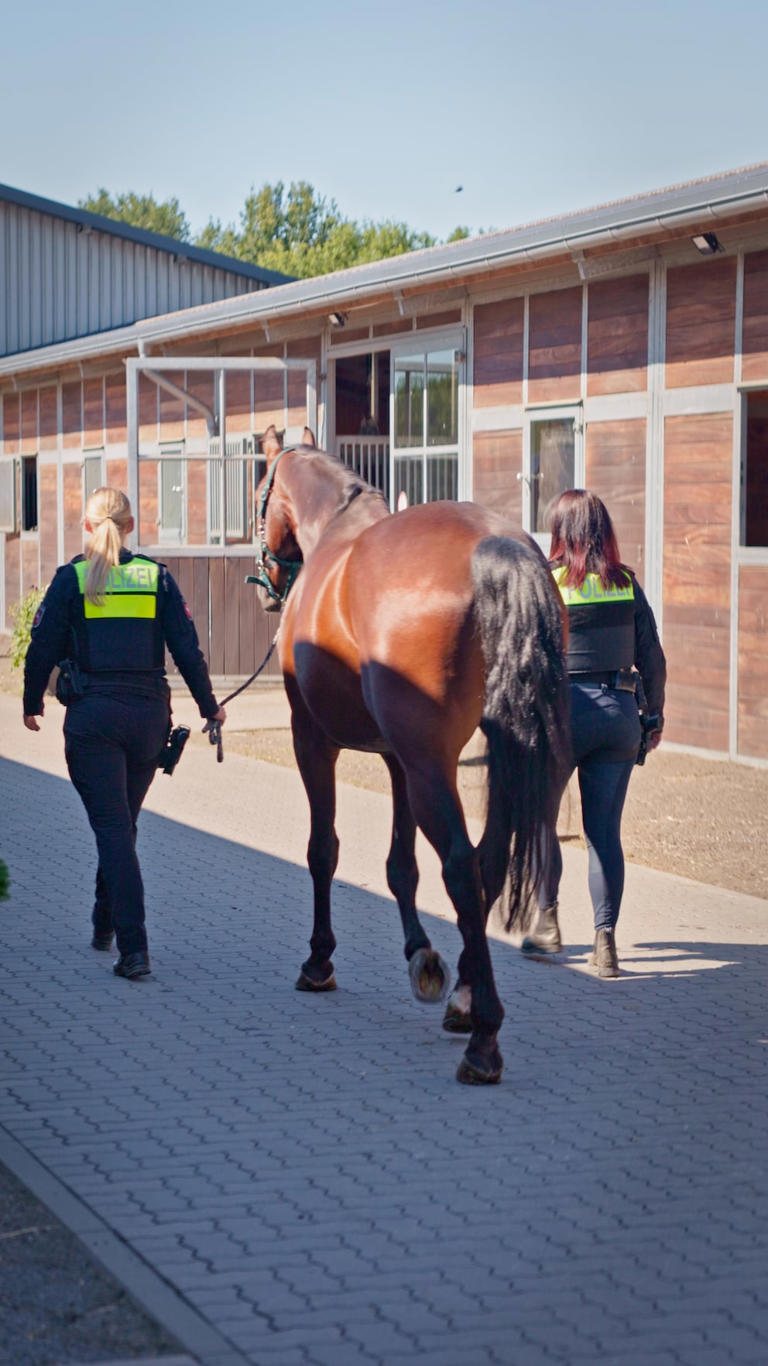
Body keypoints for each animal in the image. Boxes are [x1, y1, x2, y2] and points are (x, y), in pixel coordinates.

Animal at [251, 425, 570, 1084]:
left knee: (462, 868)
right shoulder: (397, 757)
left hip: (428, 768)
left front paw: (319, 961)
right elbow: (402, 866)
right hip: (500, 758)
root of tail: (495, 544)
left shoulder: (311, 738)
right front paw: (422, 957)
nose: (266, 578)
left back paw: (484, 1038)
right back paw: (466, 1000)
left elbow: (323, 850)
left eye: (258, 490)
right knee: (486, 863)